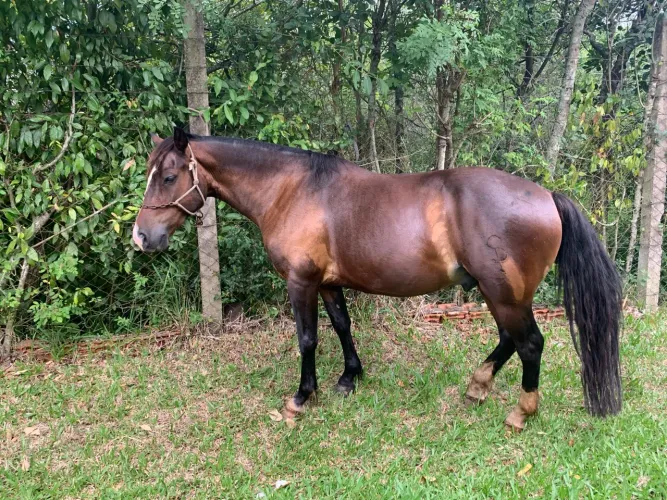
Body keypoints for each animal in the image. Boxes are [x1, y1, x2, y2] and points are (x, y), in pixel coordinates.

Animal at [132, 127, 622, 431]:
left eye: (169, 176)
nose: (141, 237)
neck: (292, 191)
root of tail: (546, 196)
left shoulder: (301, 282)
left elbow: (308, 338)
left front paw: (301, 397)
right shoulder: (328, 282)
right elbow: (341, 326)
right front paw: (350, 377)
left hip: (505, 293)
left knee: (530, 344)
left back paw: (520, 412)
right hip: (498, 293)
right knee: (508, 339)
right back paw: (478, 387)